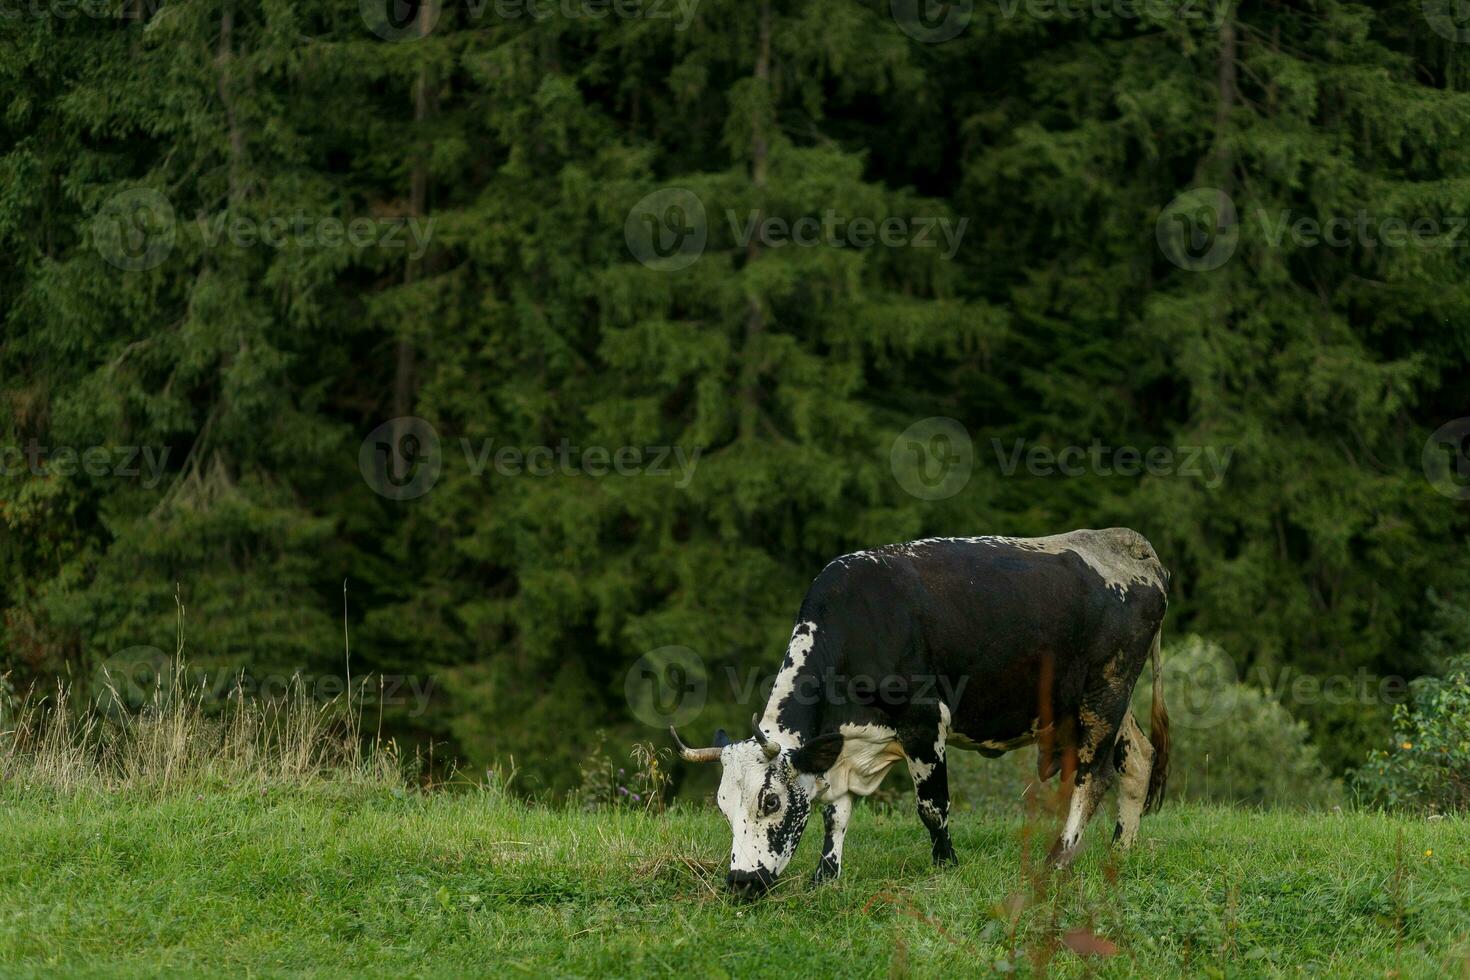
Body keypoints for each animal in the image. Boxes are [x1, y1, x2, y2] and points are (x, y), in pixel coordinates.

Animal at [673, 528, 1170, 899]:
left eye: (770, 801)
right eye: (723, 805)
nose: (740, 882)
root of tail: (1128, 544)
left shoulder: (925, 721)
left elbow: (932, 806)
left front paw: (945, 865)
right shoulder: (842, 747)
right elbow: (836, 812)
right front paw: (825, 877)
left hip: (1105, 693)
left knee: (1092, 776)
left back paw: (1061, 859)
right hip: (1102, 705)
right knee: (1137, 760)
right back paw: (1121, 852)